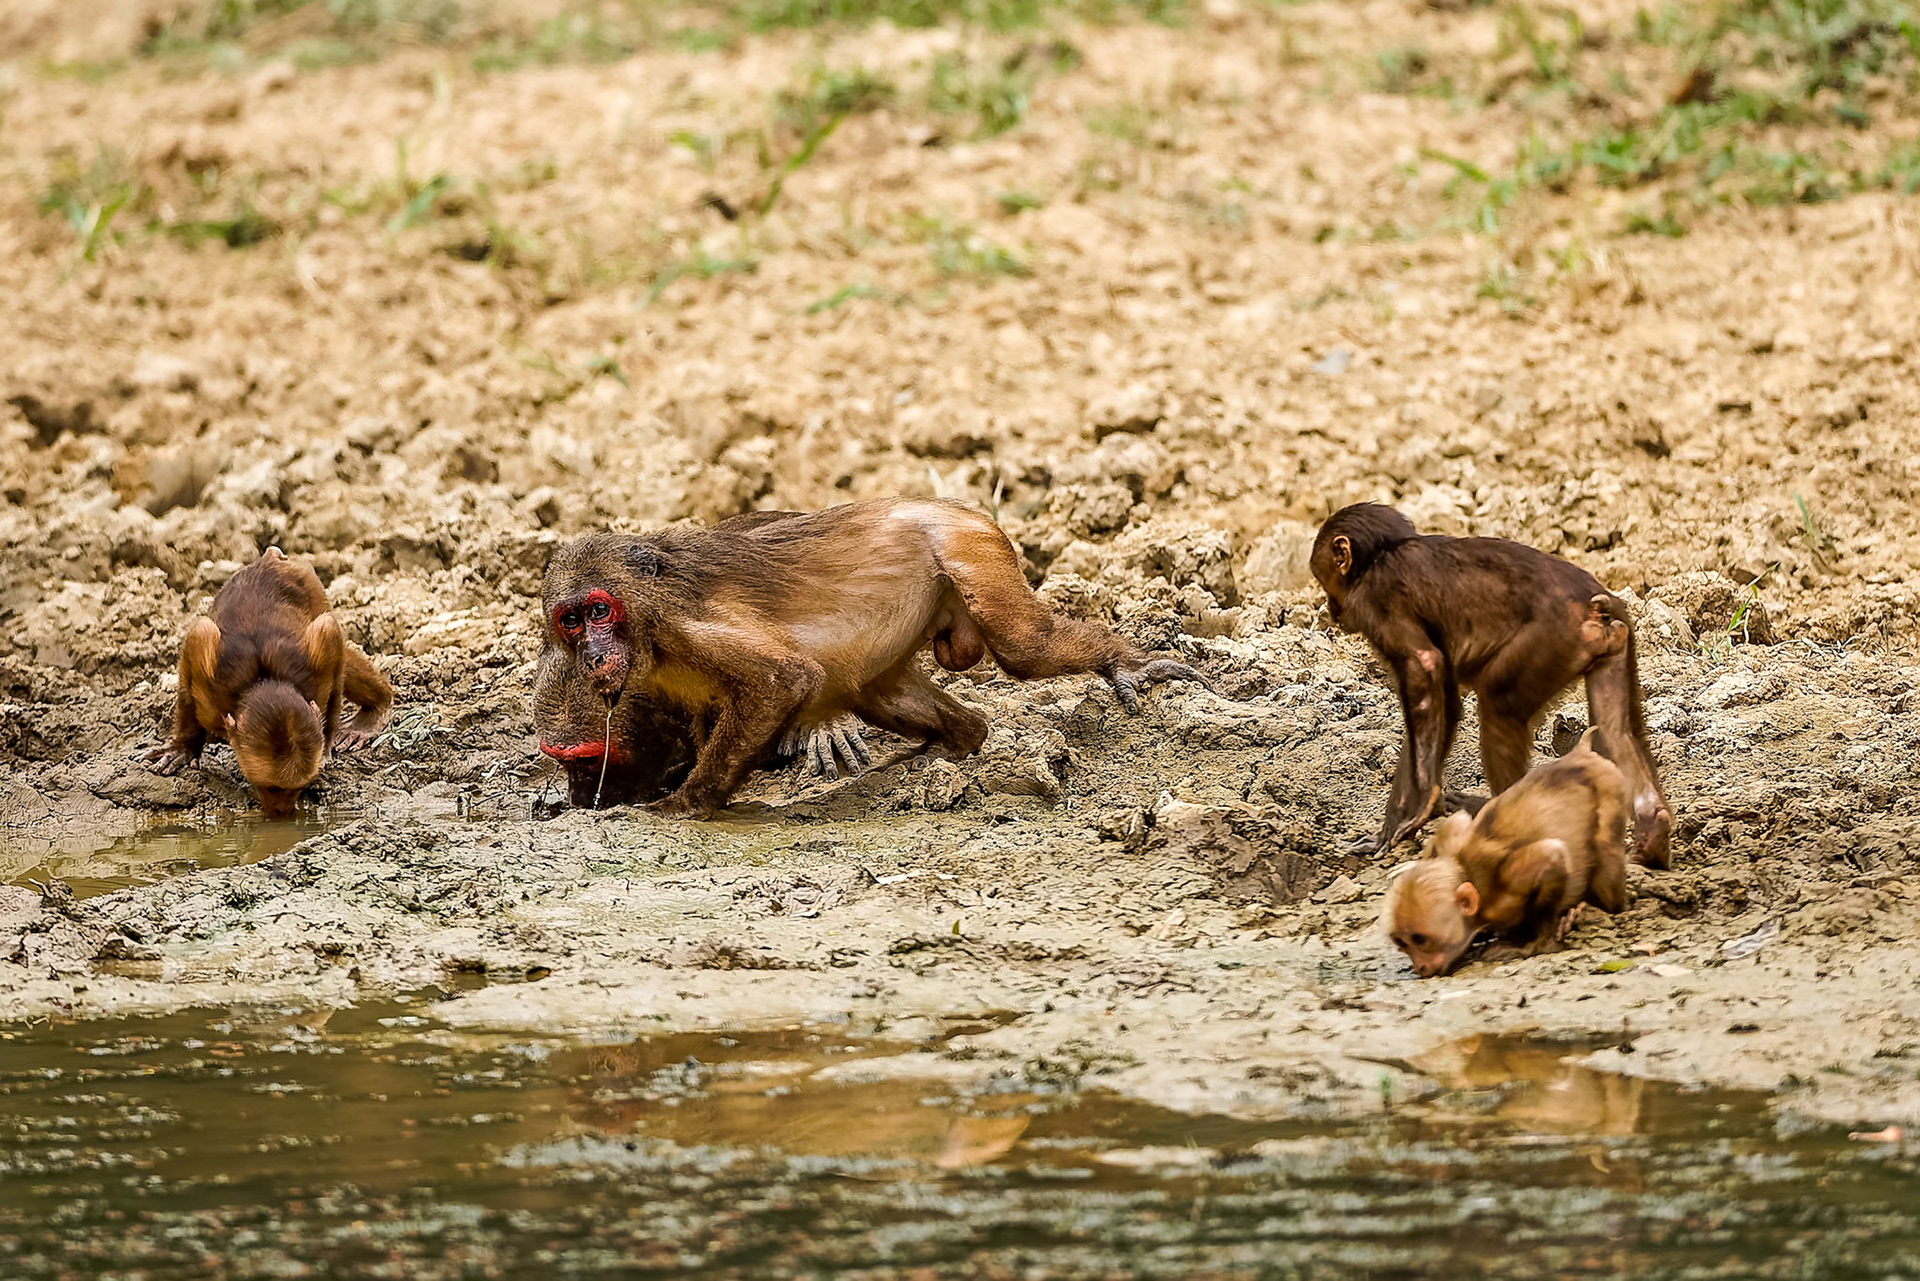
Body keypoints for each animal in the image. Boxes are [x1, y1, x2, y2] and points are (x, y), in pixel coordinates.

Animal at [141, 548, 394, 818]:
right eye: (272, 788)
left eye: (300, 787)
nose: (281, 812)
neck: (263, 680)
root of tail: (272, 558)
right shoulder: (208, 684)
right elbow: (198, 641)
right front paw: (181, 748)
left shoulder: (317, 673)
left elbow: (329, 636)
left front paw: (327, 743)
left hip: (311, 587)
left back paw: (375, 710)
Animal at [539, 497, 1202, 818]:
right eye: (569, 621)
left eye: (598, 612)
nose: (592, 654)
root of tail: (954, 505)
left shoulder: (683, 628)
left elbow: (784, 679)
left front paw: (684, 805)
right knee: (882, 691)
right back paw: (949, 745)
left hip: (970, 548)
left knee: (1024, 649)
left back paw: (1118, 662)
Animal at [1312, 502, 1671, 868]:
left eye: (1324, 580)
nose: (1331, 609)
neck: (1379, 555)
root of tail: (1596, 604)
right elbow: (1445, 703)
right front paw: (1392, 828)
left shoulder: (1375, 601)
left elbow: (1425, 667)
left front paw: (1421, 805)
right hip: (1615, 638)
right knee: (1617, 731)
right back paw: (1652, 829)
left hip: (1554, 640)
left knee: (1499, 701)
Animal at [1386, 727, 1629, 978]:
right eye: (1402, 943)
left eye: (1420, 939)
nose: (1420, 966)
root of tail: (1580, 754)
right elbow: (1459, 821)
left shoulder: (1508, 888)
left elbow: (1552, 854)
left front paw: (1537, 942)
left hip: (1611, 787)